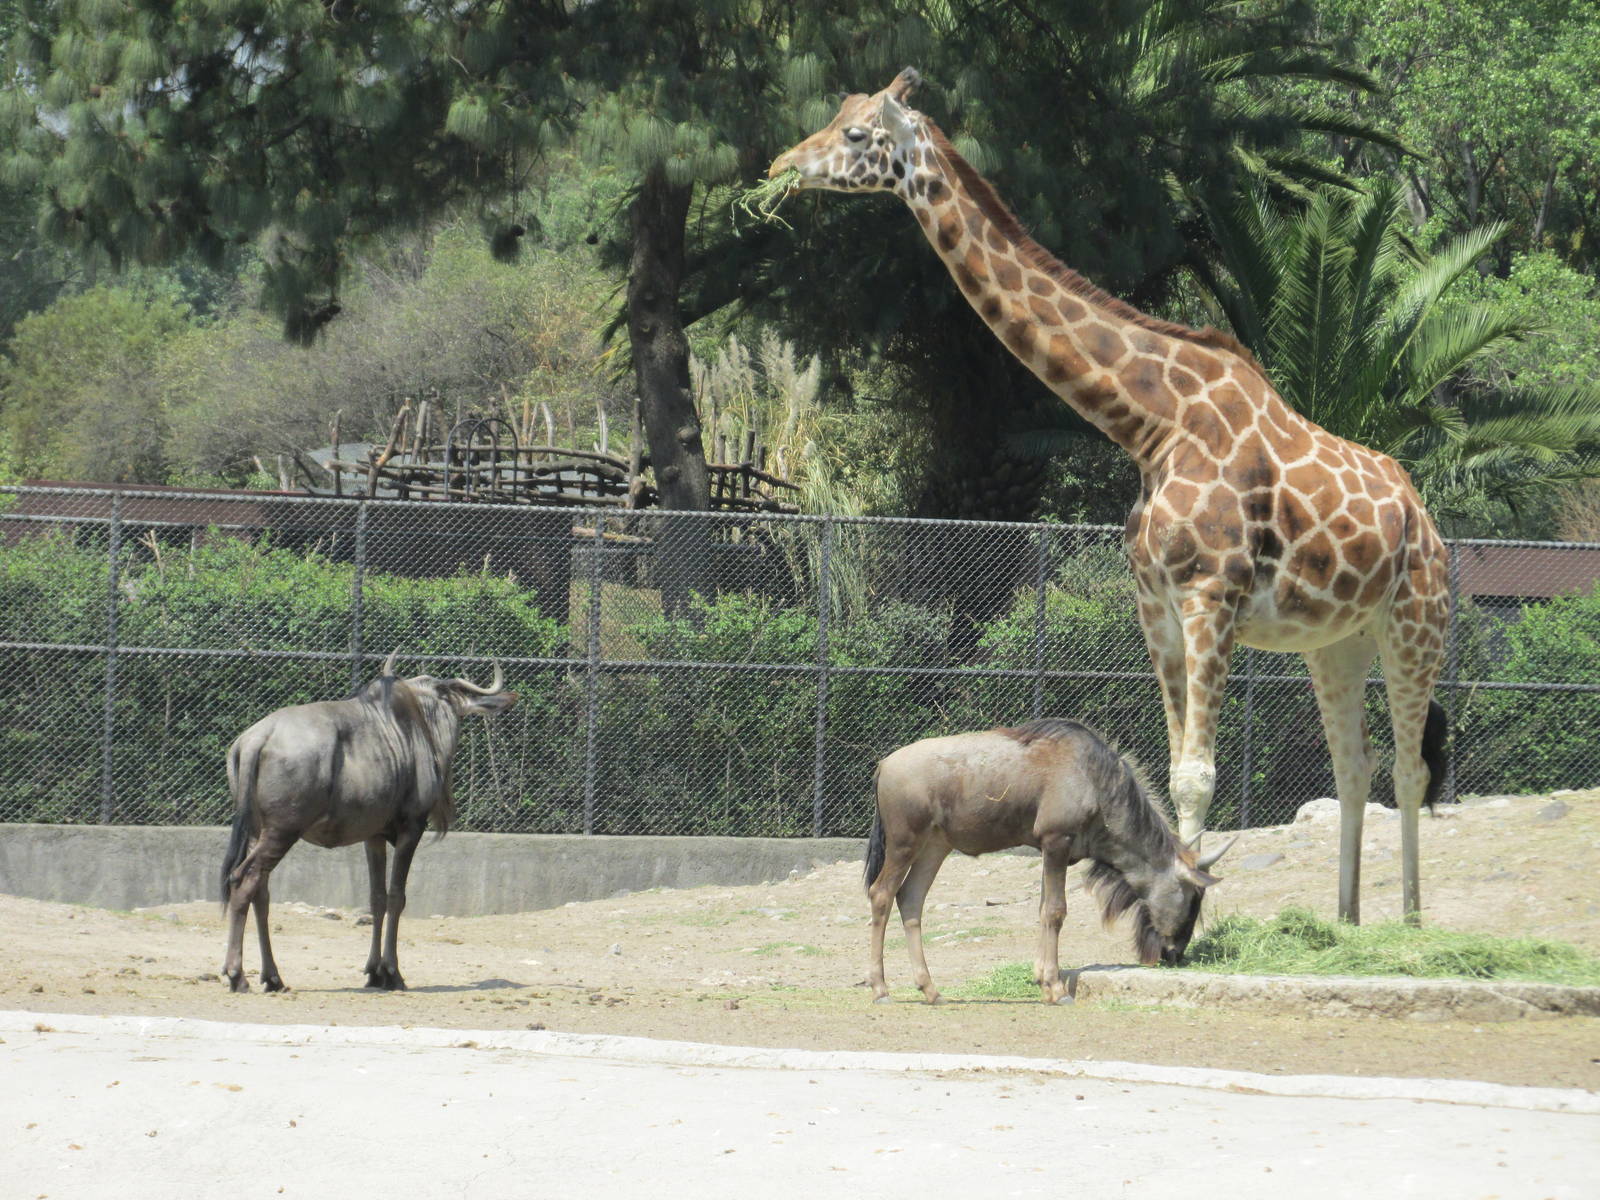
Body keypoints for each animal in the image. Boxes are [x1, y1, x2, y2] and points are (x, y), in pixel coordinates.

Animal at [770, 68, 1451, 924]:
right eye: (836, 116)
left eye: (858, 134)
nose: (781, 167)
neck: (1151, 426)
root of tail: (1424, 517)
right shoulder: (1155, 604)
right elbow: (1171, 764)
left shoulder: (1209, 596)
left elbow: (1197, 775)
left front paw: (1193, 921)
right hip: (1336, 642)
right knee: (1355, 765)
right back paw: (1346, 920)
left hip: (1415, 622)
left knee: (1409, 767)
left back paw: (1413, 921)